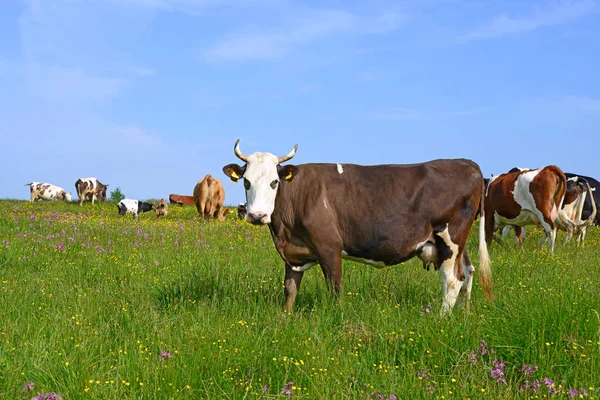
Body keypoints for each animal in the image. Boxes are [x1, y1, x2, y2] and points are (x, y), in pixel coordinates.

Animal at [225, 139, 492, 314]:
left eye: (274, 182)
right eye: (246, 182)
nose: (257, 215)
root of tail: (468, 164)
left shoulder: (329, 247)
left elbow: (335, 289)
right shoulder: (294, 253)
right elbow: (290, 289)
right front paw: (285, 318)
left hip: (450, 237)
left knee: (453, 279)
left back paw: (441, 319)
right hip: (457, 243)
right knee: (468, 272)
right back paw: (464, 315)